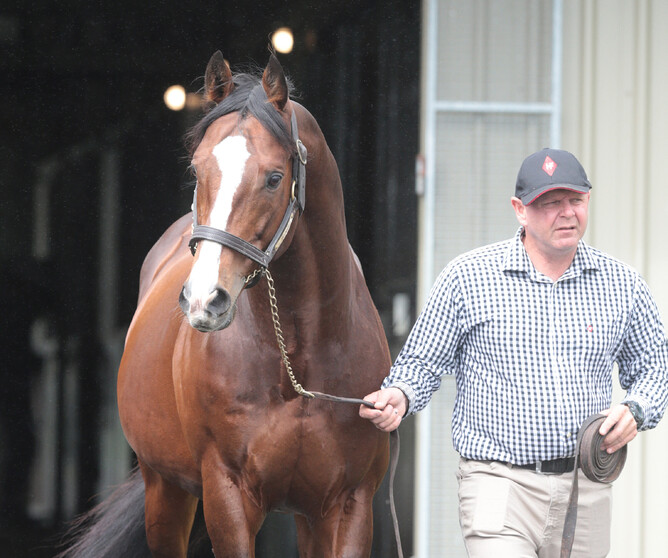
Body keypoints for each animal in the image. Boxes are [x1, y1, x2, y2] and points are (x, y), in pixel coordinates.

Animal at [58, 52, 392, 558]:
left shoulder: (348, 505)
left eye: (274, 178)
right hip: (165, 493)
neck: (298, 362)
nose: (203, 300)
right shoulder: (227, 495)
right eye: (197, 171)